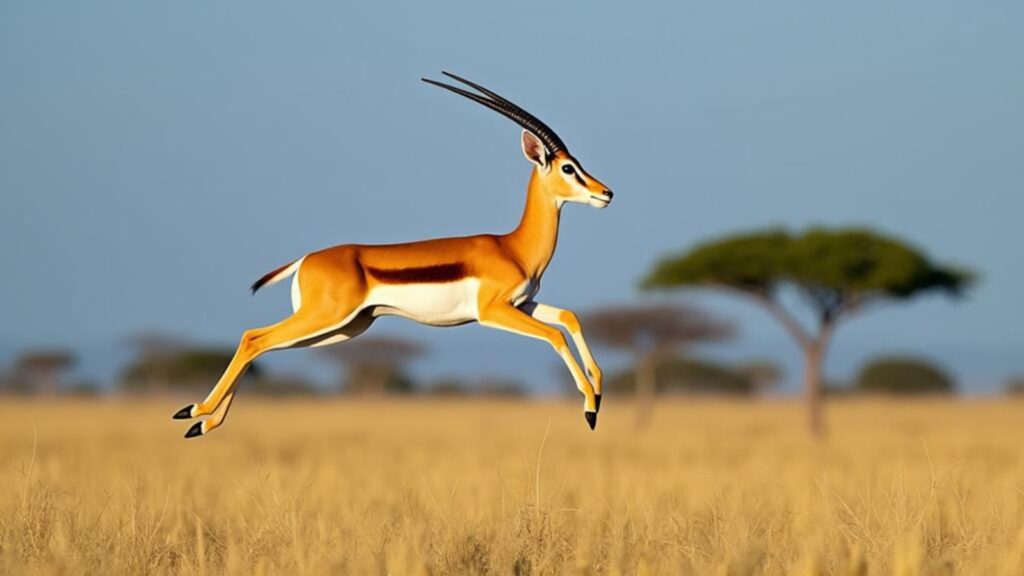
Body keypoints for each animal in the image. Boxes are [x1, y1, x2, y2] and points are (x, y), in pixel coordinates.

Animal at [173, 72, 614, 438]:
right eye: (569, 168)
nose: (606, 192)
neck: (513, 246)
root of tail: (306, 259)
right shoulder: (492, 312)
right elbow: (555, 334)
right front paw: (590, 409)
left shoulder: (522, 304)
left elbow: (568, 317)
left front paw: (597, 392)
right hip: (325, 319)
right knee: (253, 338)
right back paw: (194, 412)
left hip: (341, 329)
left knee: (261, 343)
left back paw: (201, 423)